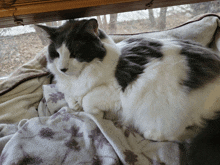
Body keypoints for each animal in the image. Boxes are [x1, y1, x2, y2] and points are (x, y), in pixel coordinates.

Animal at [38, 18, 220, 142]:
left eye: (75, 53)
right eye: (56, 54)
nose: (62, 68)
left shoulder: (116, 92)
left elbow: (88, 101)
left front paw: (98, 112)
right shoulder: (69, 89)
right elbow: (70, 98)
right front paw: (75, 103)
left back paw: (150, 133)